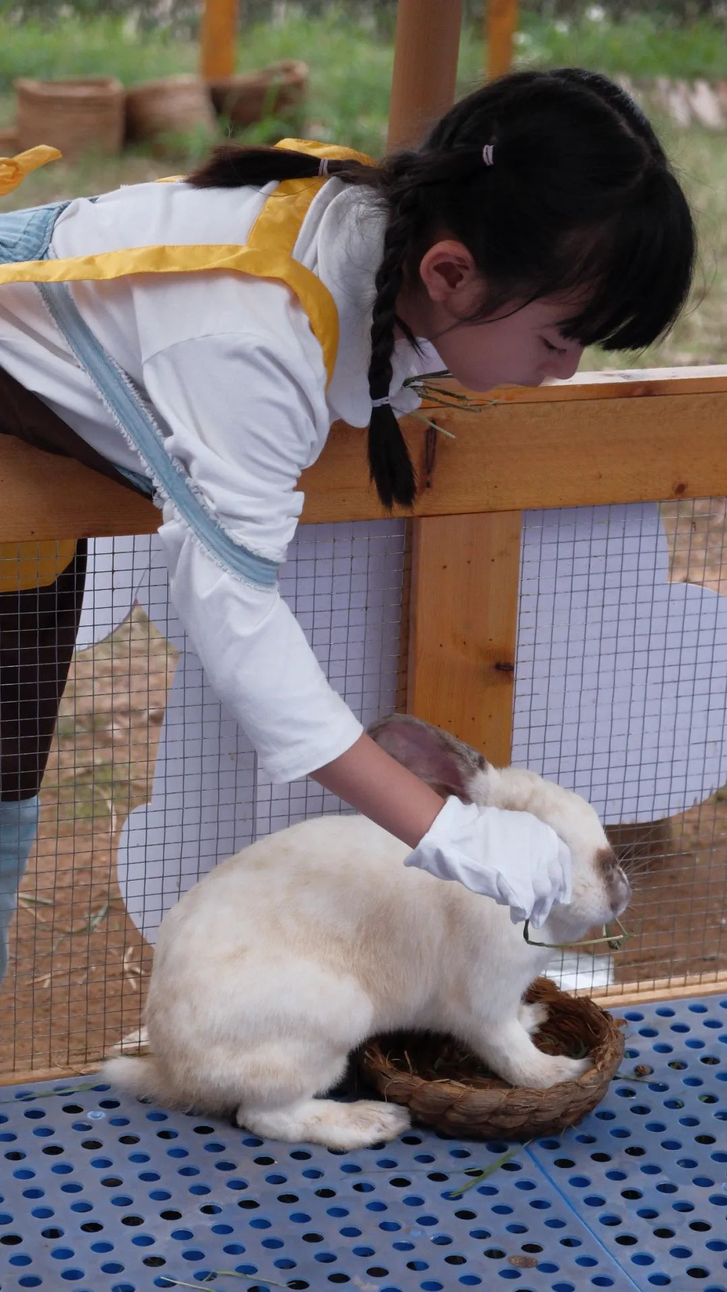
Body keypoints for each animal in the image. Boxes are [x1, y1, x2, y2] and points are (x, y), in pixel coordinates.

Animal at [102, 718, 632, 1152]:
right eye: (549, 848)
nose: (619, 892)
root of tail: (175, 1070)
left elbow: (518, 1028)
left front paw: (536, 1016)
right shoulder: (483, 1006)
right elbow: (513, 1055)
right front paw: (564, 1071)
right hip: (329, 1022)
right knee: (265, 1116)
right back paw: (374, 1121)